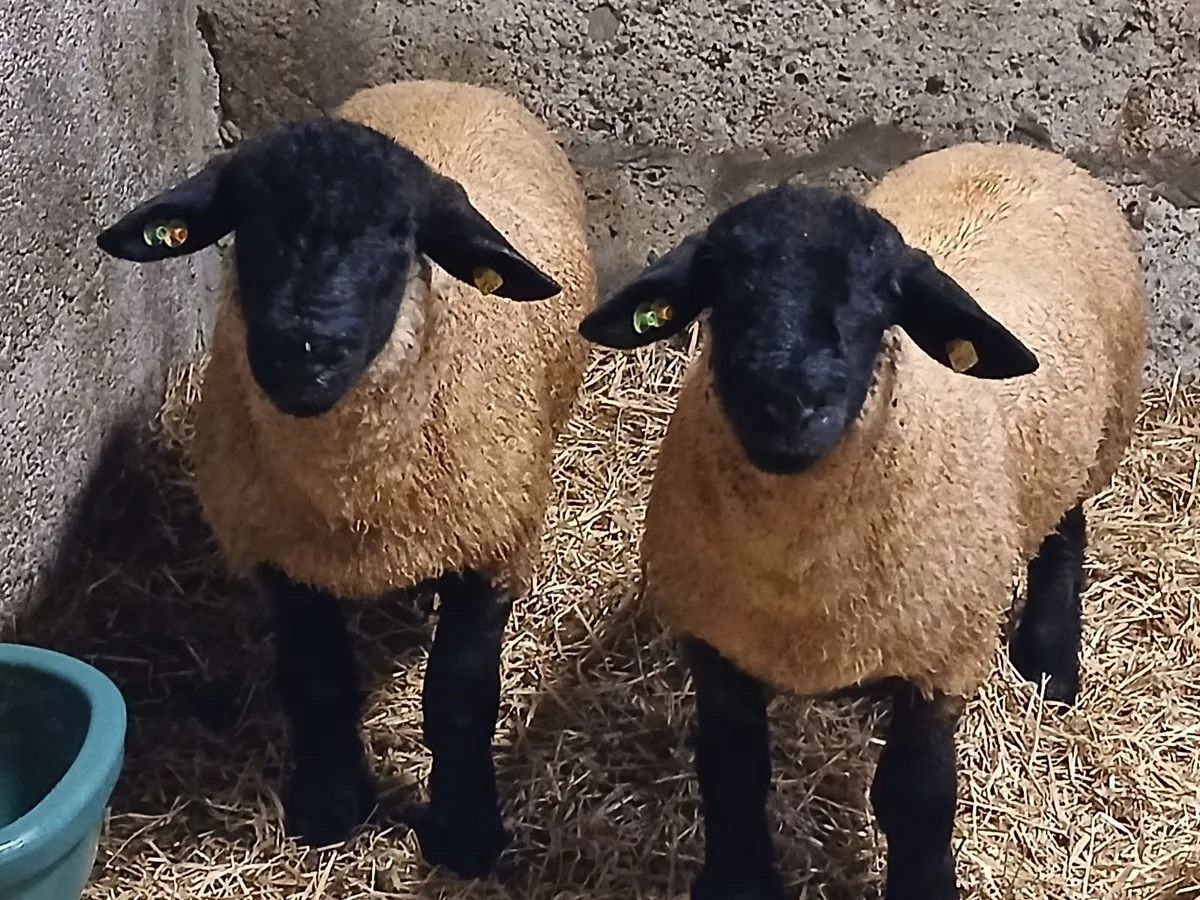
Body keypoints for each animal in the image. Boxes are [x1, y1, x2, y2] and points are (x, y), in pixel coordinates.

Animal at [94, 79, 596, 877]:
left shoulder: (493, 541)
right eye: (249, 225)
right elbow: (317, 680)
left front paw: (465, 831)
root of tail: (440, 82)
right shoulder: (281, 556)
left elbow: (459, 698)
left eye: (399, 236)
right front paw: (330, 805)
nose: (303, 351)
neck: (351, 494)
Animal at [577, 141, 1146, 900]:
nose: (788, 403)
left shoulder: (943, 657)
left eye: (880, 302)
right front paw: (737, 879)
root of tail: (1018, 149)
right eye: (725, 292)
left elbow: (918, 798)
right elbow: (731, 775)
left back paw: (1050, 663)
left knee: (1066, 529)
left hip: (1099, 433)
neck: (794, 580)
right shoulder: (716, 644)